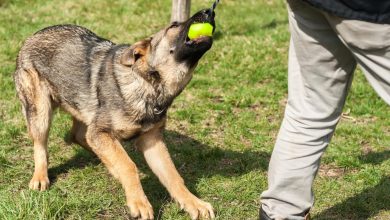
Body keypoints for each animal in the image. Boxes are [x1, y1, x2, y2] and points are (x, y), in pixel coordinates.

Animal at [13, 9, 216, 220]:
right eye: (174, 26)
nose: (209, 11)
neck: (148, 85)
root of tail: (33, 36)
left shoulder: (151, 140)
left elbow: (173, 175)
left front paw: (194, 203)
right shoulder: (100, 132)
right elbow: (128, 165)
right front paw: (139, 203)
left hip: (84, 111)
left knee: (79, 136)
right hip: (41, 113)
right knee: (41, 145)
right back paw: (40, 177)